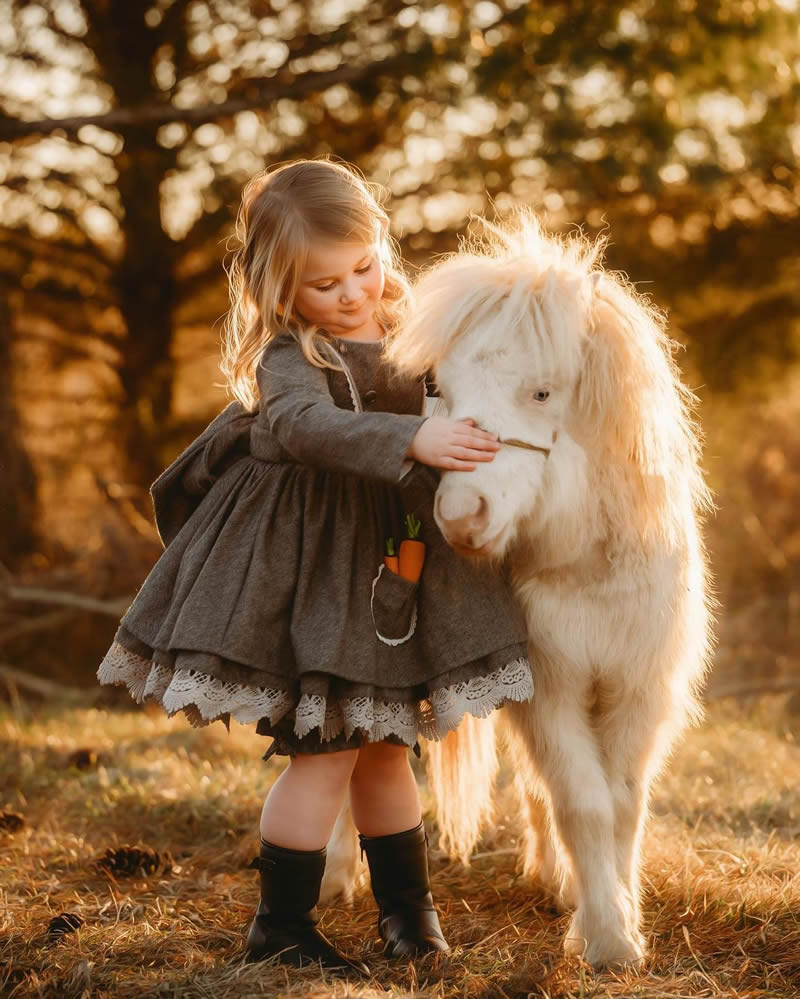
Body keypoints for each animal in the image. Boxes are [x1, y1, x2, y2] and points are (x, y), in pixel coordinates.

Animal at [324, 217, 712, 968]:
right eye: (439, 388)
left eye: (542, 393)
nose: (461, 514)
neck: (588, 568)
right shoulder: (550, 691)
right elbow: (583, 802)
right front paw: (606, 937)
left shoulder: (635, 690)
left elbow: (622, 802)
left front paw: (611, 917)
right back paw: (333, 876)